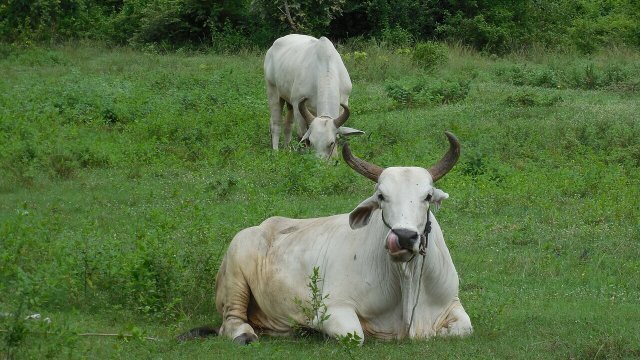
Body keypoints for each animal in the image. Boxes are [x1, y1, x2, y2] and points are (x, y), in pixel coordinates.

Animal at [212, 131, 472, 344]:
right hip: (235, 274)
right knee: (231, 320)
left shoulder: (452, 302)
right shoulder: (334, 308)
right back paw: (244, 334)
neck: (407, 278)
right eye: (381, 196)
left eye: (427, 196)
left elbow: (465, 328)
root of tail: (263, 226)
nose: (404, 237)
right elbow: (355, 335)